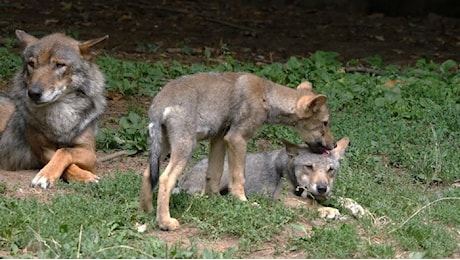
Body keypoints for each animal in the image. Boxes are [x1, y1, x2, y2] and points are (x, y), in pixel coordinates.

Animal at [0, 29, 108, 189]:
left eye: (59, 65)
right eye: (31, 64)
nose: (33, 93)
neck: (60, 114)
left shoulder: (90, 152)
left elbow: (64, 151)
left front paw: (86, 176)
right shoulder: (43, 150)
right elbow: (63, 158)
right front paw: (45, 175)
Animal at [138, 71, 336, 230]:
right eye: (325, 123)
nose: (334, 146)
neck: (266, 95)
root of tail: (159, 102)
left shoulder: (219, 138)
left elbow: (214, 174)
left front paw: (216, 200)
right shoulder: (237, 139)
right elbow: (239, 178)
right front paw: (242, 202)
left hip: (163, 147)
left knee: (148, 174)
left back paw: (147, 211)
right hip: (185, 147)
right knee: (165, 179)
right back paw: (165, 222)